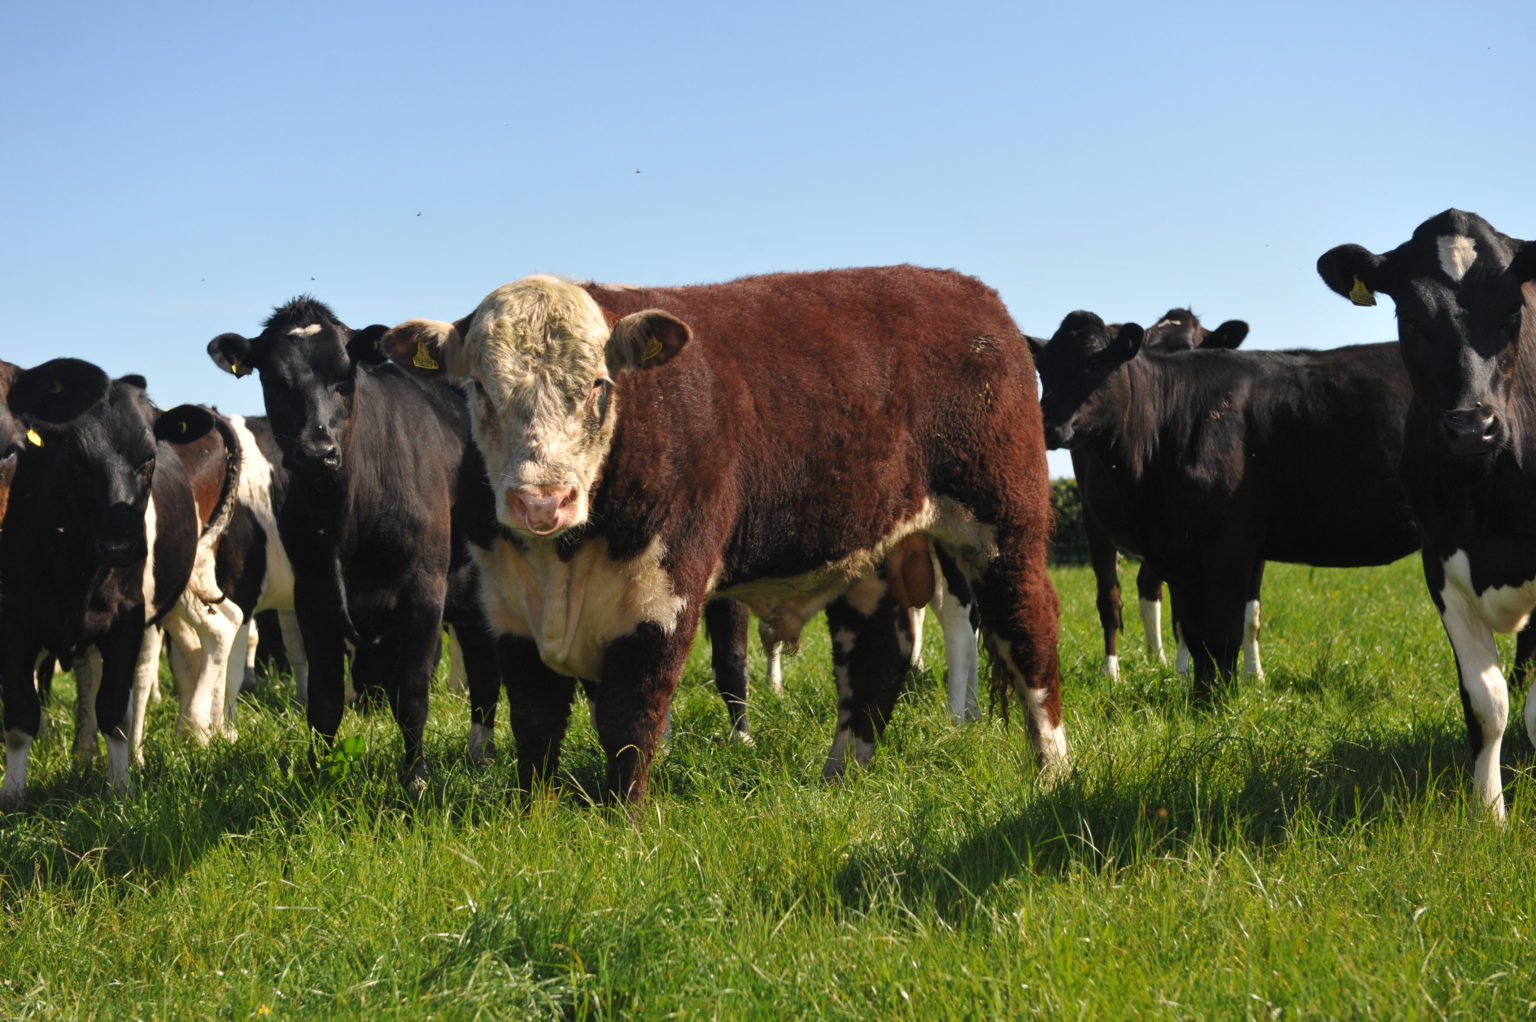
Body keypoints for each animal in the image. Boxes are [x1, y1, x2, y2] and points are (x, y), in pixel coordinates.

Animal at [1, 368, 238, 805]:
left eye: (149, 459)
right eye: (75, 460)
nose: (120, 545)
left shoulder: (125, 620)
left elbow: (113, 710)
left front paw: (121, 789)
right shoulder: (14, 623)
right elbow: (22, 715)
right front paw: (13, 796)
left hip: (193, 571)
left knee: (220, 628)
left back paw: (197, 728)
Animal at [380, 265, 1064, 805]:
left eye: (599, 384)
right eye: (479, 388)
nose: (542, 501)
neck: (563, 562)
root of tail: (971, 295)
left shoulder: (664, 594)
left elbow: (631, 715)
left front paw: (621, 822)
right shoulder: (508, 604)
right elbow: (536, 718)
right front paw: (537, 816)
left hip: (1001, 526)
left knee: (1028, 628)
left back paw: (1052, 772)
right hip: (873, 553)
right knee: (875, 657)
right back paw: (839, 779)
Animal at [1030, 310, 1420, 699]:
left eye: (1095, 364)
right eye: (1043, 370)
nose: (1045, 425)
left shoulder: (1230, 542)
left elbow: (1227, 629)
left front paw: (1231, 691)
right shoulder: (1179, 544)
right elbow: (1195, 631)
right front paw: (1204, 696)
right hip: (1094, 522)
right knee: (1111, 598)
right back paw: (1115, 670)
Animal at [1317, 208, 1536, 822]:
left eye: (1513, 311)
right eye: (1410, 316)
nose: (1470, 427)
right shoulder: (1440, 562)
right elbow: (1487, 702)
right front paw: (1489, 816)